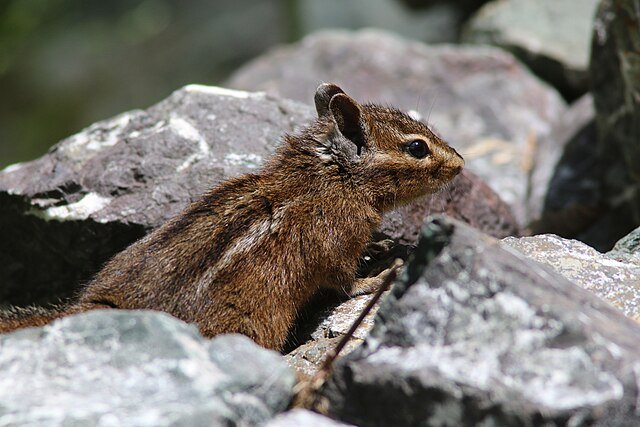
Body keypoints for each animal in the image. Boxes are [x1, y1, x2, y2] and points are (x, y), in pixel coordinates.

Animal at [0, 83, 464, 350]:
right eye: (417, 148)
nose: (460, 164)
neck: (333, 178)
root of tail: (98, 307)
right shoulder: (334, 244)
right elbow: (344, 281)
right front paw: (376, 276)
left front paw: (382, 244)